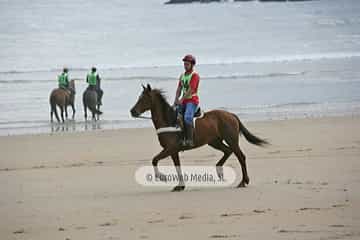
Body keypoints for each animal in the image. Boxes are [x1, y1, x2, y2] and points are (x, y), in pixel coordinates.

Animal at [130, 84, 268, 191]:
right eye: (139, 97)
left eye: (143, 99)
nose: (132, 111)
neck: (169, 121)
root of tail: (231, 115)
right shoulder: (173, 151)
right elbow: (177, 166)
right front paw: (180, 186)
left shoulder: (170, 149)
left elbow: (154, 160)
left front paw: (162, 177)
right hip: (214, 142)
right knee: (227, 151)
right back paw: (219, 170)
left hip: (232, 140)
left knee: (240, 157)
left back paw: (243, 181)